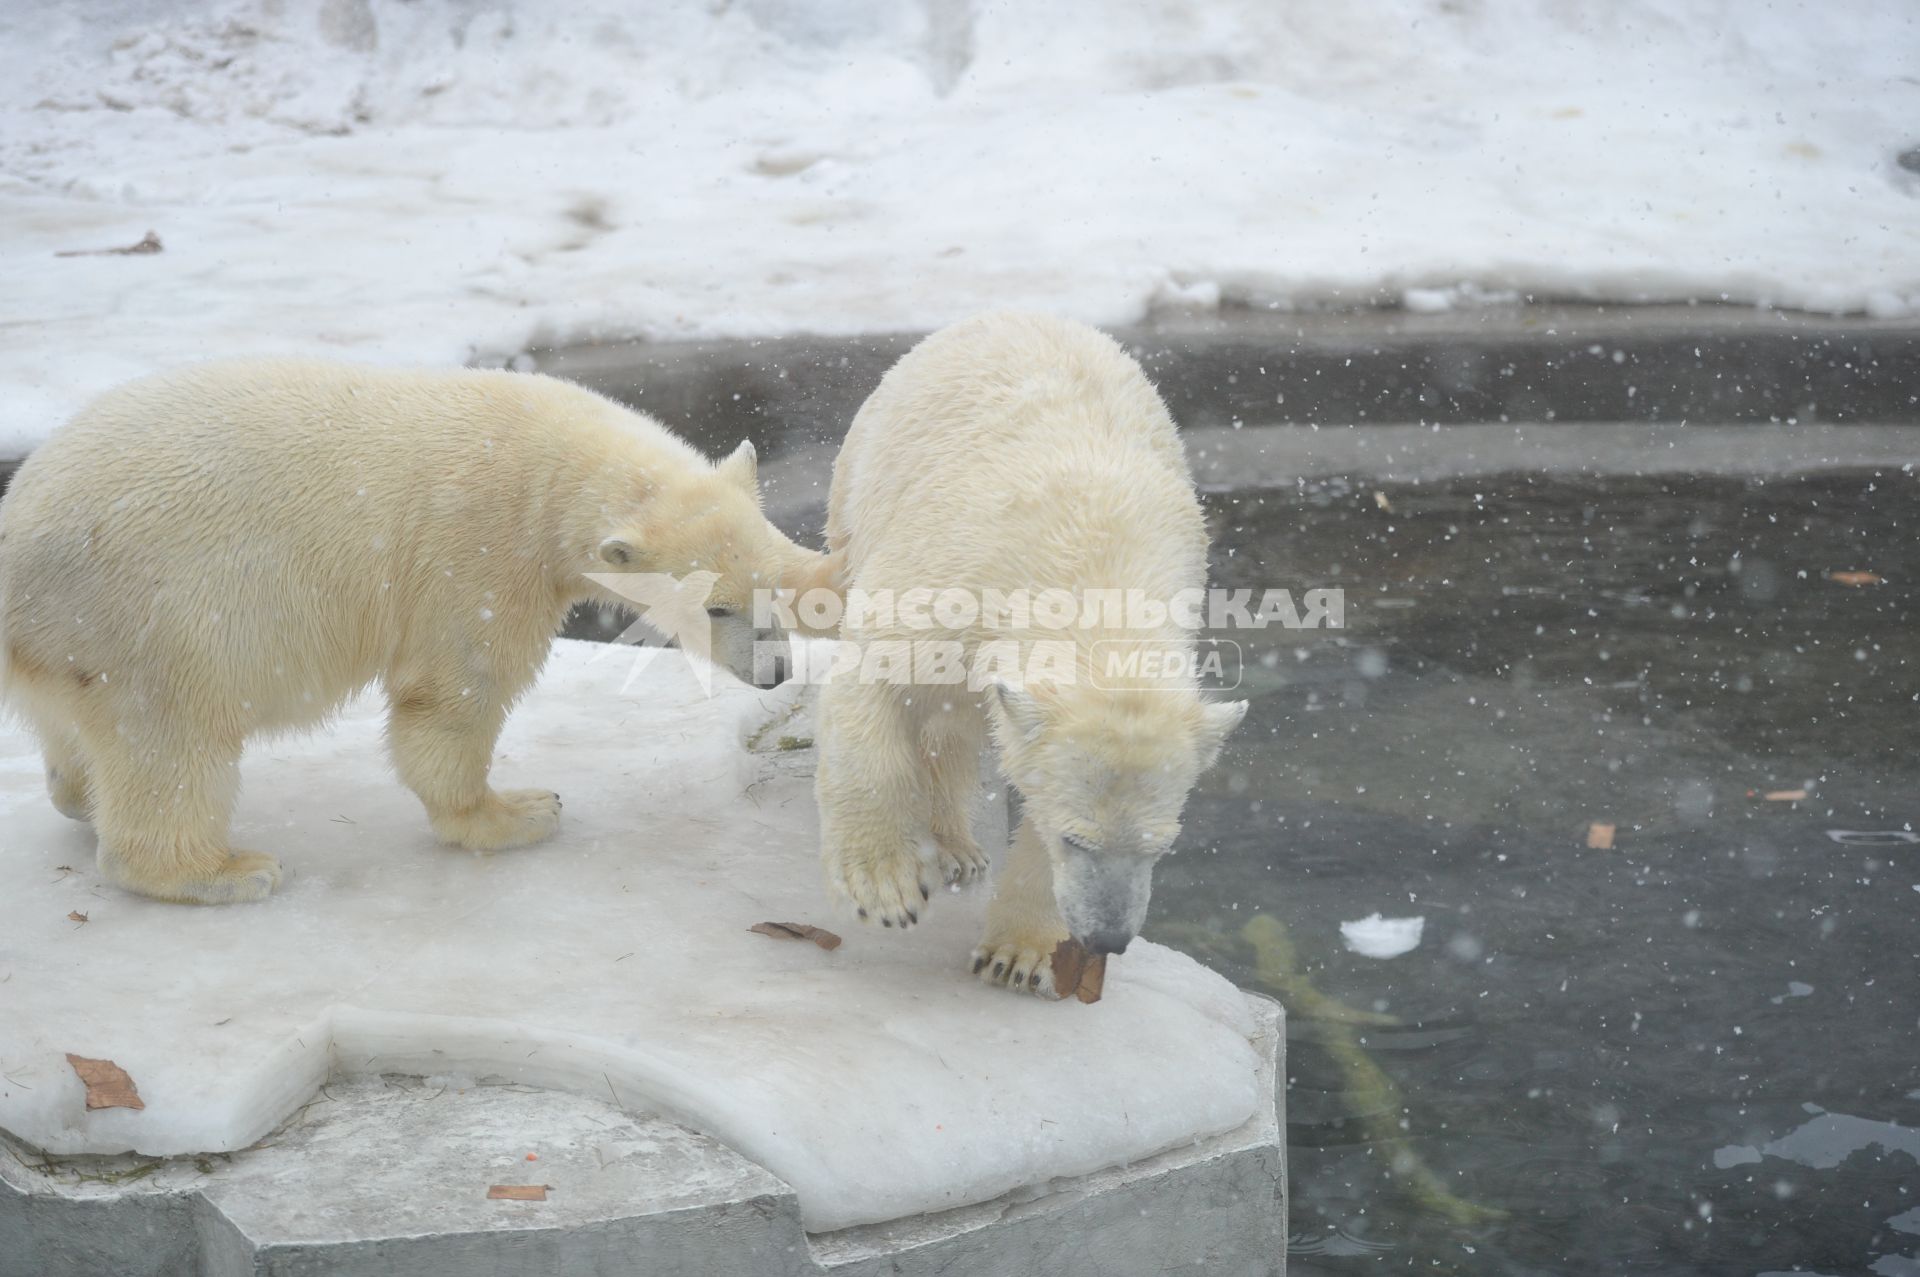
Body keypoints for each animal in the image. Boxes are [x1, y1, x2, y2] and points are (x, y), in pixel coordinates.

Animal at [0, 359, 817, 906]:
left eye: (771, 589)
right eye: (715, 609)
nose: (775, 673)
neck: (546, 459)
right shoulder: (477, 553)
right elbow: (456, 693)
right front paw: (519, 811)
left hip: (72, 646)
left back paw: (81, 794)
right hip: (148, 621)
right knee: (174, 741)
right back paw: (228, 870)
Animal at [810, 311, 1244, 998]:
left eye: (1159, 847)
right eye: (1078, 839)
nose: (1108, 938)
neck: (1095, 563)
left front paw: (1016, 954)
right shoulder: (951, 580)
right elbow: (874, 677)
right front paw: (882, 887)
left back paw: (959, 848)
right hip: (860, 478)